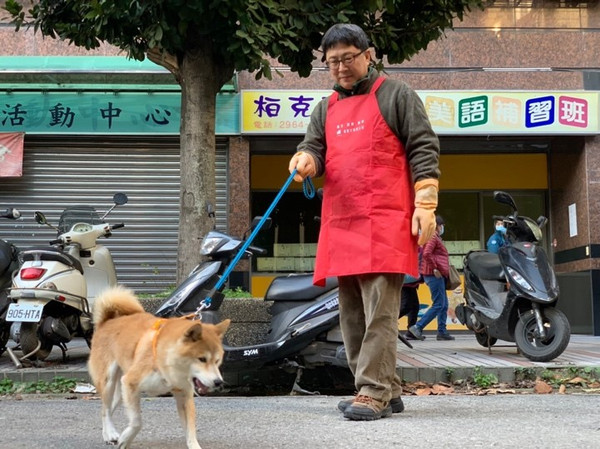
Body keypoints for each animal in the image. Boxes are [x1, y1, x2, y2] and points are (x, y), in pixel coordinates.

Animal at [88, 288, 230, 448]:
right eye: (202, 359)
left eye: (217, 360)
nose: (218, 382)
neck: (167, 363)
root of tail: (106, 321)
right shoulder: (131, 382)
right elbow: (137, 422)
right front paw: (126, 439)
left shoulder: (184, 394)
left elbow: (191, 431)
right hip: (109, 382)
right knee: (105, 409)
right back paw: (109, 433)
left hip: (120, 391)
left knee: (108, 408)